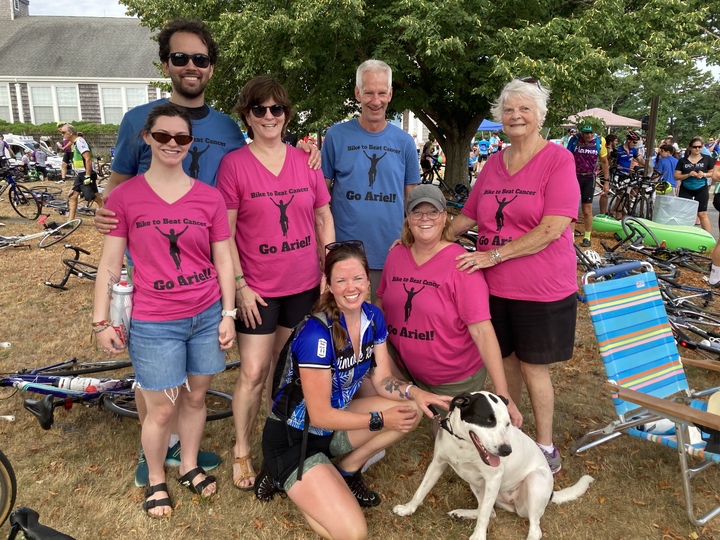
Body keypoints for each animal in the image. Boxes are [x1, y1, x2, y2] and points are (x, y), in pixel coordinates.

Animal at [394, 392, 592, 540]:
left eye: (507, 423)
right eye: (488, 421)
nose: (506, 450)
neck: (464, 444)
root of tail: (551, 493)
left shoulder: (493, 478)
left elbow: (484, 516)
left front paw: (478, 537)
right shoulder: (437, 463)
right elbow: (421, 490)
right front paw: (408, 508)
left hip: (534, 481)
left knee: (534, 529)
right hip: (475, 483)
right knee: (491, 512)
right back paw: (461, 513)